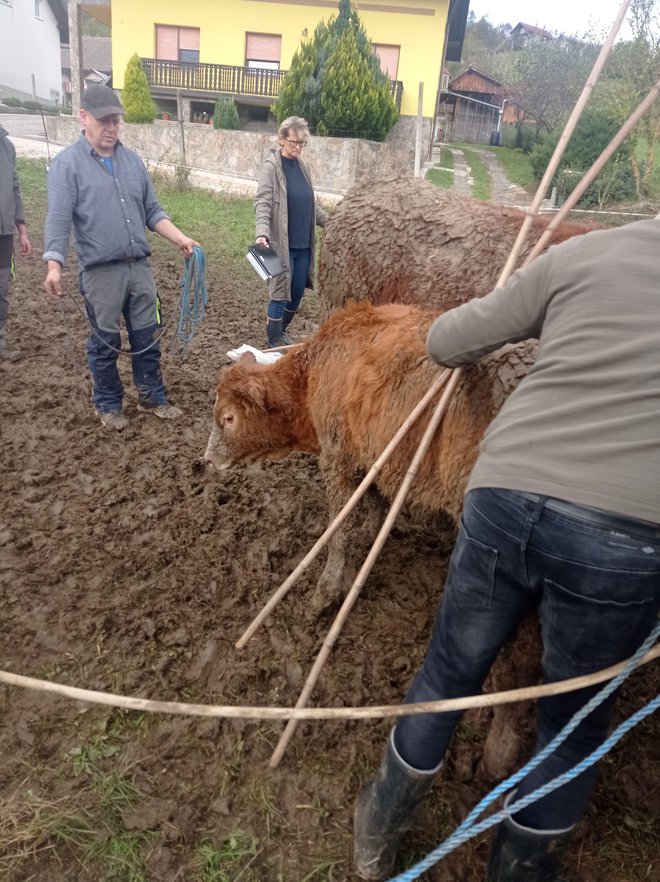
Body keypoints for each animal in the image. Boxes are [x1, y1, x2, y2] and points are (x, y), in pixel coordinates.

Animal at [206, 300, 536, 616]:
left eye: (229, 418)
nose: (207, 459)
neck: (315, 373)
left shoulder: (337, 460)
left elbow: (339, 529)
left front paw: (325, 592)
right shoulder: (368, 453)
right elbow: (375, 499)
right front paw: (369, 532)